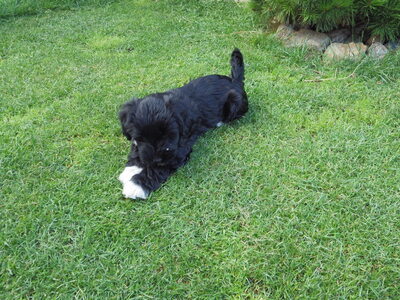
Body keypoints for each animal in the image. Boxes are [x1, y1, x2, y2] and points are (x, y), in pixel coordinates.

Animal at [117, 48, 247, 199]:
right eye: (141, 137)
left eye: (169, 135)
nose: (157, 159)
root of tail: (235, 81)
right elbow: (136, 149)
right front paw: (131, 168)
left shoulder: (177, 152)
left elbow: (157, 169)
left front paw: (136, 185)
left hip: (236, 101)